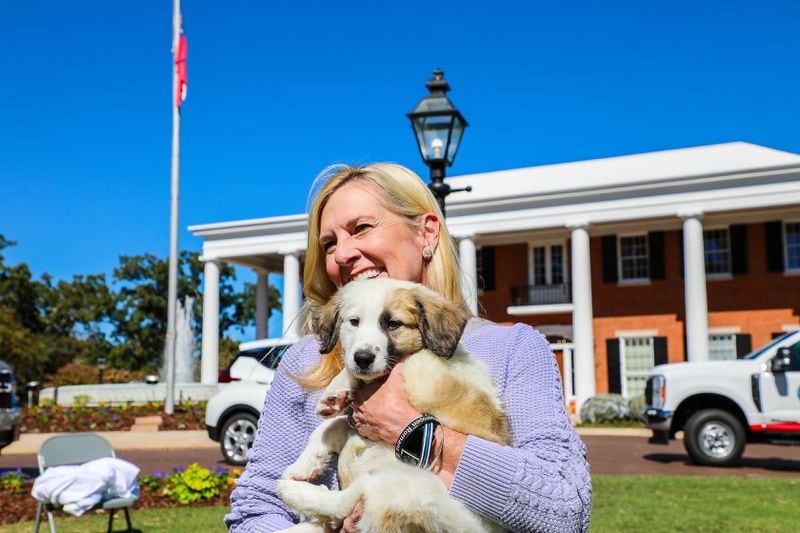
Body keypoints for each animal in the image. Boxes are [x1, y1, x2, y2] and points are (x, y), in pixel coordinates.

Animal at [276, 278, 510, 532]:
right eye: (354, 321)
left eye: (393, 324)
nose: (363, 358)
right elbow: (328, 426)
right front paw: (304, 463)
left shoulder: (424, 374)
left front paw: (341, 385)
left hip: (408, 490)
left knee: (347, 500)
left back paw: (294, 493)